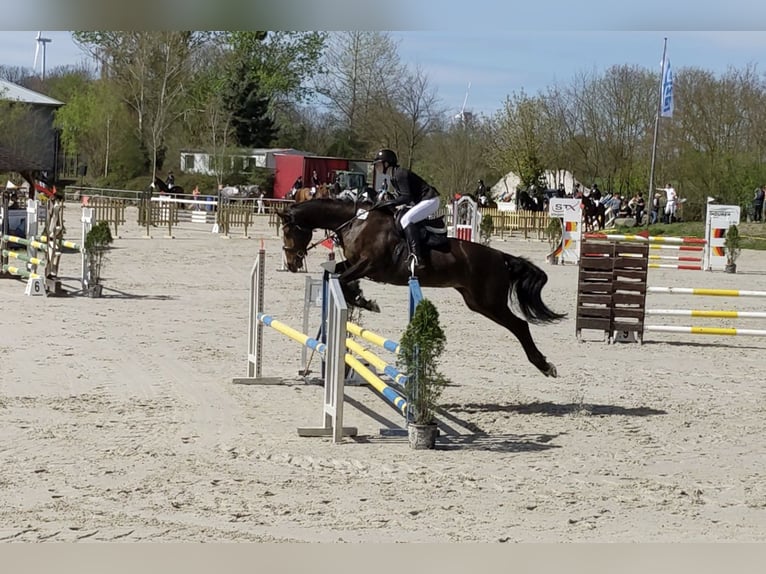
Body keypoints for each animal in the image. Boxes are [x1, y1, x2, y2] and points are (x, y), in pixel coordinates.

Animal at [276, 198, 564, 378]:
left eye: (289, 231)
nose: (291, 263)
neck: (356, 223)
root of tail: (501, 257)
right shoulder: (356, 263)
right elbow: (335, 275)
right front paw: (361, 299)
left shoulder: (370, 264)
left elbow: (344, 279)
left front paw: (365, 301)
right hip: (477, 302)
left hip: (490, 302)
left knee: (520, 326)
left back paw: (545, 366)